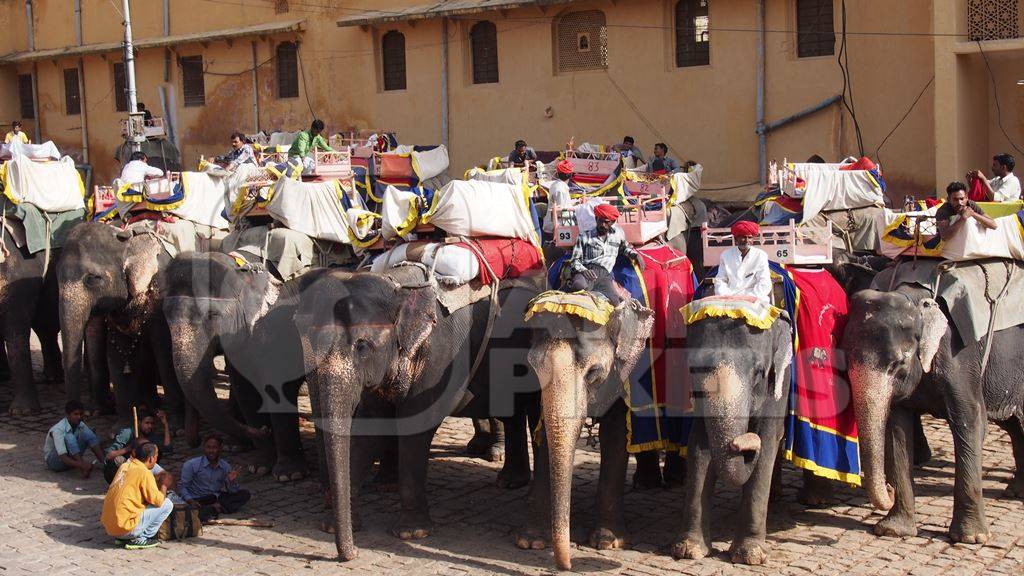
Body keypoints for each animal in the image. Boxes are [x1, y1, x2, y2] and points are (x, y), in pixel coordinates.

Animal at [58, 222, 186, 424]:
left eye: (92, 279)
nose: (79, 413)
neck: (125, 237)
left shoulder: (162, 294)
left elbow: (164, 350)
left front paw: (176, 425)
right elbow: (116, 354)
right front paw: (123, 426)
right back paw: (149, 408)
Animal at [161, 251, 327, 479]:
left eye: (212, 315)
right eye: (166, 318)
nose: (195, 441)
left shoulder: (278, 336)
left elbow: (277, 392)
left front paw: (288, 475)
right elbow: (246, 392)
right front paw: (260, 467)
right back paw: (236, 446)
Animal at [294, 266, 544, 557]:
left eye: (363, 346)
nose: (351, 555)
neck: (396, 287)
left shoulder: (444, 356)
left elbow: (415, 426)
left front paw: (411, 533)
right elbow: (369, 428)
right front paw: (331, 527)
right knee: (514, 411)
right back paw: (510, 481)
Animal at [516, 295, 651, 569]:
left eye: (593, 374)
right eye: (533, 369)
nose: (567, 566)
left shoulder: (624, 374)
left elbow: (616, 434)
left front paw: (609, 542)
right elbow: (546, 435)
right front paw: (531, 541)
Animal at [675, 305, 794, 561]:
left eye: (759, 372)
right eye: (693, 369)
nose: (744, 442)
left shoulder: (783, 378)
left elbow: (768, 439)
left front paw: (750, 555)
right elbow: (699, 443)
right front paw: (690, 550)